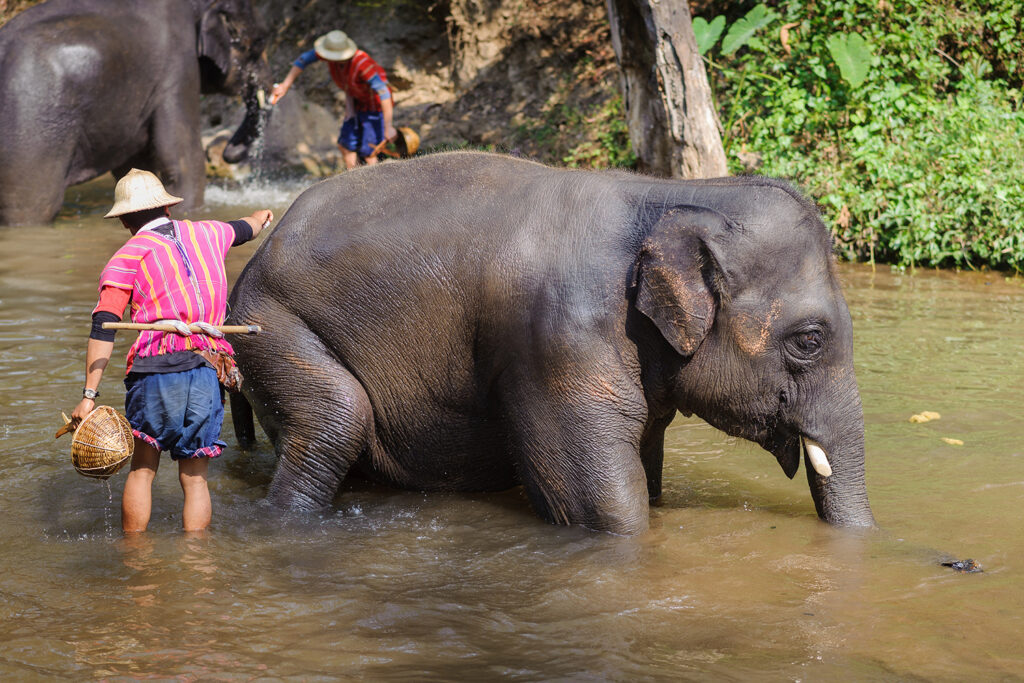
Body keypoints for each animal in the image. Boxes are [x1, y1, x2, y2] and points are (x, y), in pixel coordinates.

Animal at [0, 0, 270, 227]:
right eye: (257, 45)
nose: (228, 153)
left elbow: (134, 164)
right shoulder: (178, 66)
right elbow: (184, 160)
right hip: (32, 124)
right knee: (34, 206)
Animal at [228, 152, 876, 536]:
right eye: (810, 341)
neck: (669, 196)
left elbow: (647, 468)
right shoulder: (557, 345)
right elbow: (601, 509)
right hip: (271, 325)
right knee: (337, 418)